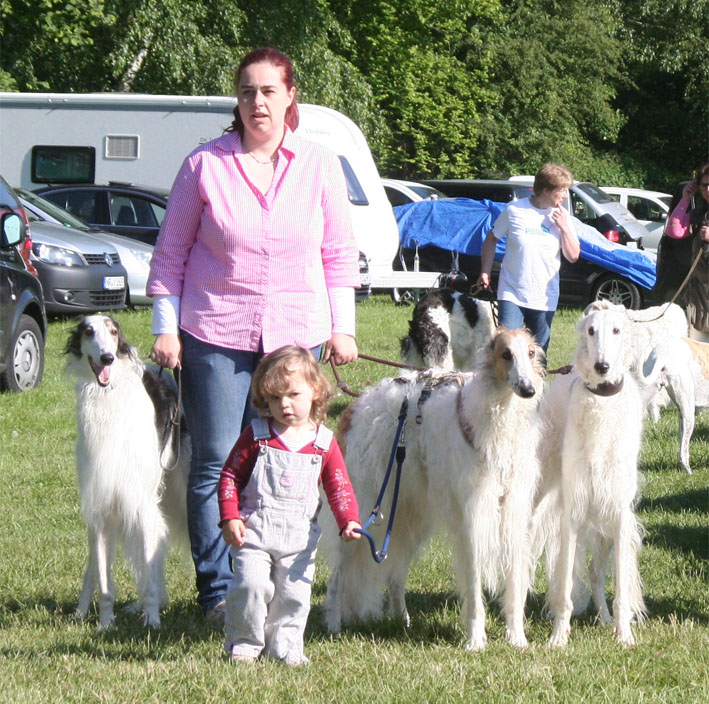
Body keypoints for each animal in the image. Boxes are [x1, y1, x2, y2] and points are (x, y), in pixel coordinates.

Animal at [65, 315, 189, 628]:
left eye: (113, 331)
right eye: (88, 331)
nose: (107, 357)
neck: (108, 401)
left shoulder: (141, 502)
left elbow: (148, 557)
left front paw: (153, 620)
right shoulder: (101, 502)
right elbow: (104, 581)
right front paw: (105, 623)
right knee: (96, 566)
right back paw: (83, 610)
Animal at [321, 328, 545, 650]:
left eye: (530, 353)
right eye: (506, 354)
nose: (529, 390)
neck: (500, 416)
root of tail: (358, 405)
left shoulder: (513, 511)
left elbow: (515, 584)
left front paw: (517, 639)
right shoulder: (473, 516)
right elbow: (474, 585)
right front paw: (476, 641)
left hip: (407, 515)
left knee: (395, 574)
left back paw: (403, 620)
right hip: (361, 509)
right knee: (337, 575)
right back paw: (333, 624)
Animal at [534, 303, 646, 647]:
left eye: (617, 330)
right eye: (591, 330)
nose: (602, 367)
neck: (602, 400)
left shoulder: (619, 513)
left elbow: (620, 590)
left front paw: (624, 636)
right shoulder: (572, 512)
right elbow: (565, 591)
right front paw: (559, 637)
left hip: (604, 525)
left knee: (597, 575)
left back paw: (607, 619)